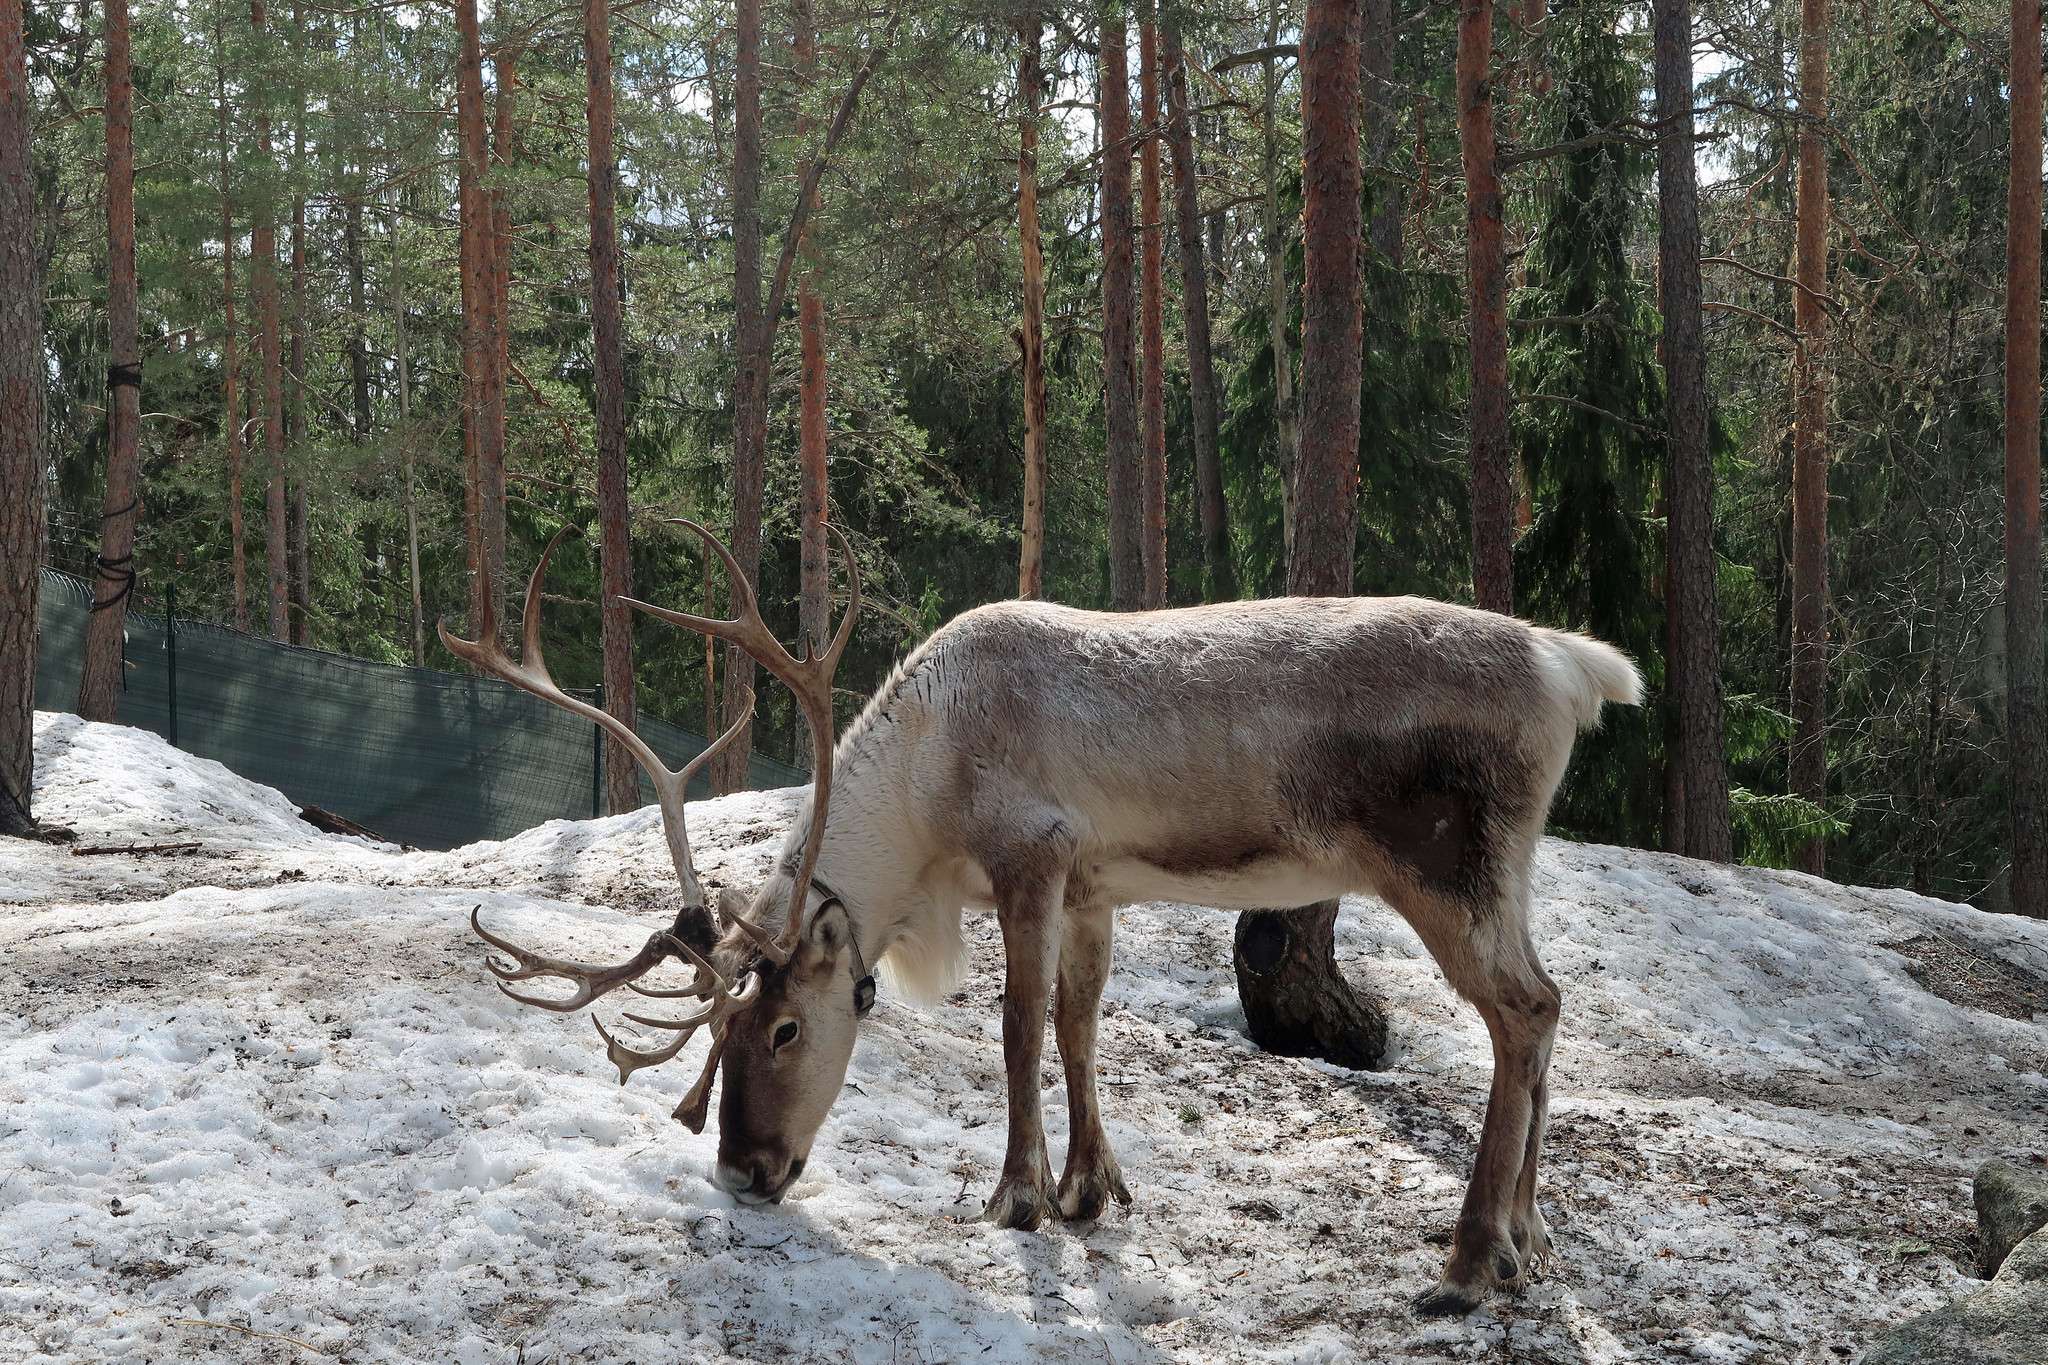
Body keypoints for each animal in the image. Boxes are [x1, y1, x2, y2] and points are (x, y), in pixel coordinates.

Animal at [446, 522, 1642, 1316]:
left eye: (783, 1027)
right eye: (720, 1031)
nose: (743, 1171)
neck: (926, 791)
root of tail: (1576, 667)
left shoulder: (1034, 853)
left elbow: (1018, 1026)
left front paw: (1015, 1195)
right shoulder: (1096, 884)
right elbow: (1079, 1026)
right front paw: (1088, 1188)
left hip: (1445, 867)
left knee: (1521, 1013)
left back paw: (1470, 1258)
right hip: (1503, 872)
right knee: (1545, 1011)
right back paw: (1528, 1236)